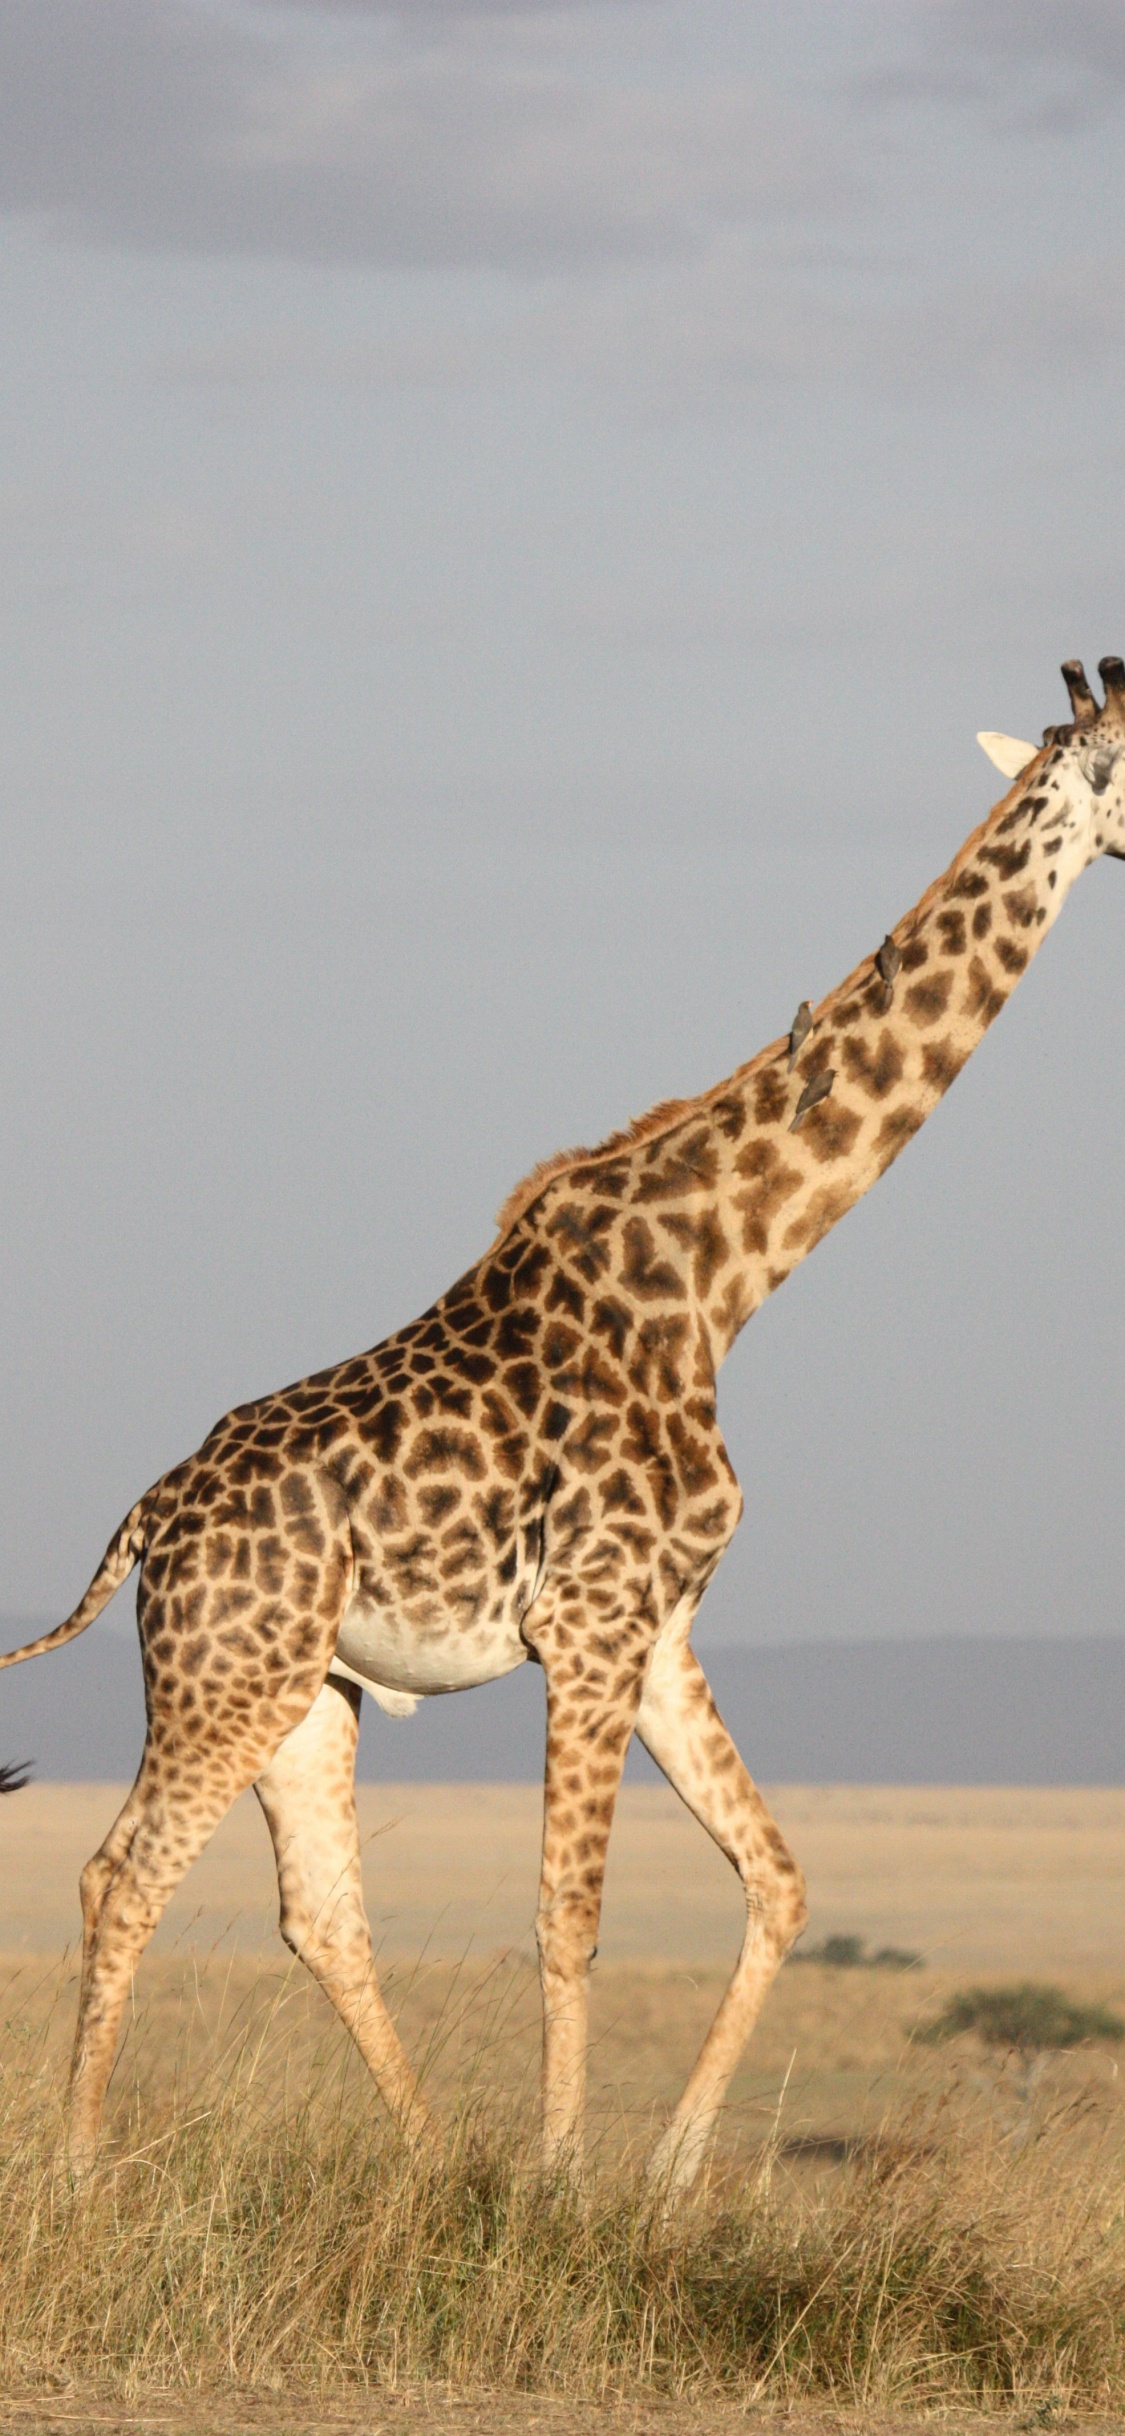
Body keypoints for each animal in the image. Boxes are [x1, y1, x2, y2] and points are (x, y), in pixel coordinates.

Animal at [3, 657, 1124, 2191]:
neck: (725, 1277)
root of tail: (145, 1522)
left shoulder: (661, 1625)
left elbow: (778, 1880)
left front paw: (665, 2179)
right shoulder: (588, 1622)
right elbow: (567, 1915)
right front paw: (561, 2183)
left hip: (306, 1692)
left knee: (319, 1911)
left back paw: (429, 2160)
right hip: (220, 1678)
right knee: (121, 1876)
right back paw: (78, 2171)